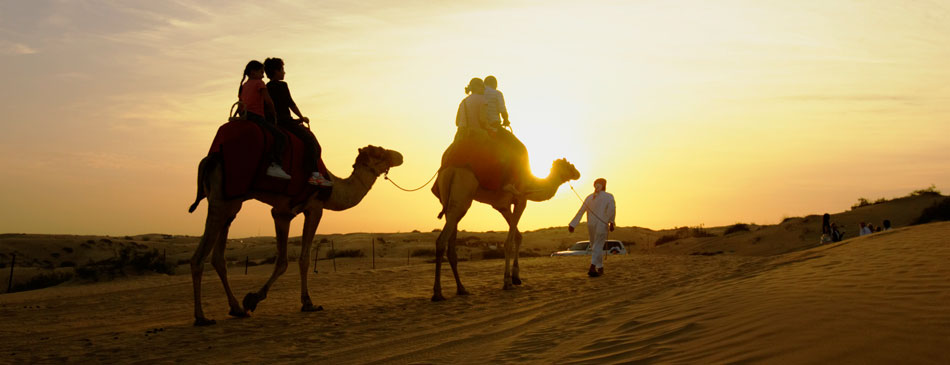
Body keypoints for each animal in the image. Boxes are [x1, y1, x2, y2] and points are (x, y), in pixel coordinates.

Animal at [188, 144, 404, 324]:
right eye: (380, 152)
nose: (399, 155)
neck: (334, 187)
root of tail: (209, 161)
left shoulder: (281, 213)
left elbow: (283, 261)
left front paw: (251, 300)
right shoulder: (314, 208)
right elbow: (302, 259)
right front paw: (307, 303)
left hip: (231, 203)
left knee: (218, 258)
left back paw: (236, 309)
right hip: (223, 200)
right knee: (198, 258)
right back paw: (201, 317)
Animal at [432, 136, 580, 298]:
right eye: (570, 165)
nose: (578, 173)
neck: (531, 184)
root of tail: (450, 168)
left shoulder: (503, 206)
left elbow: (518, 236)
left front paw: (516, 277)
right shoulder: (521, 200)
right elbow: (509, 242)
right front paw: (508, 281)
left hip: (449, 200)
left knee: (450, 242)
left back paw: (461, 288)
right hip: (463, 194)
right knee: (441, 240)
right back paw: (438, 293)